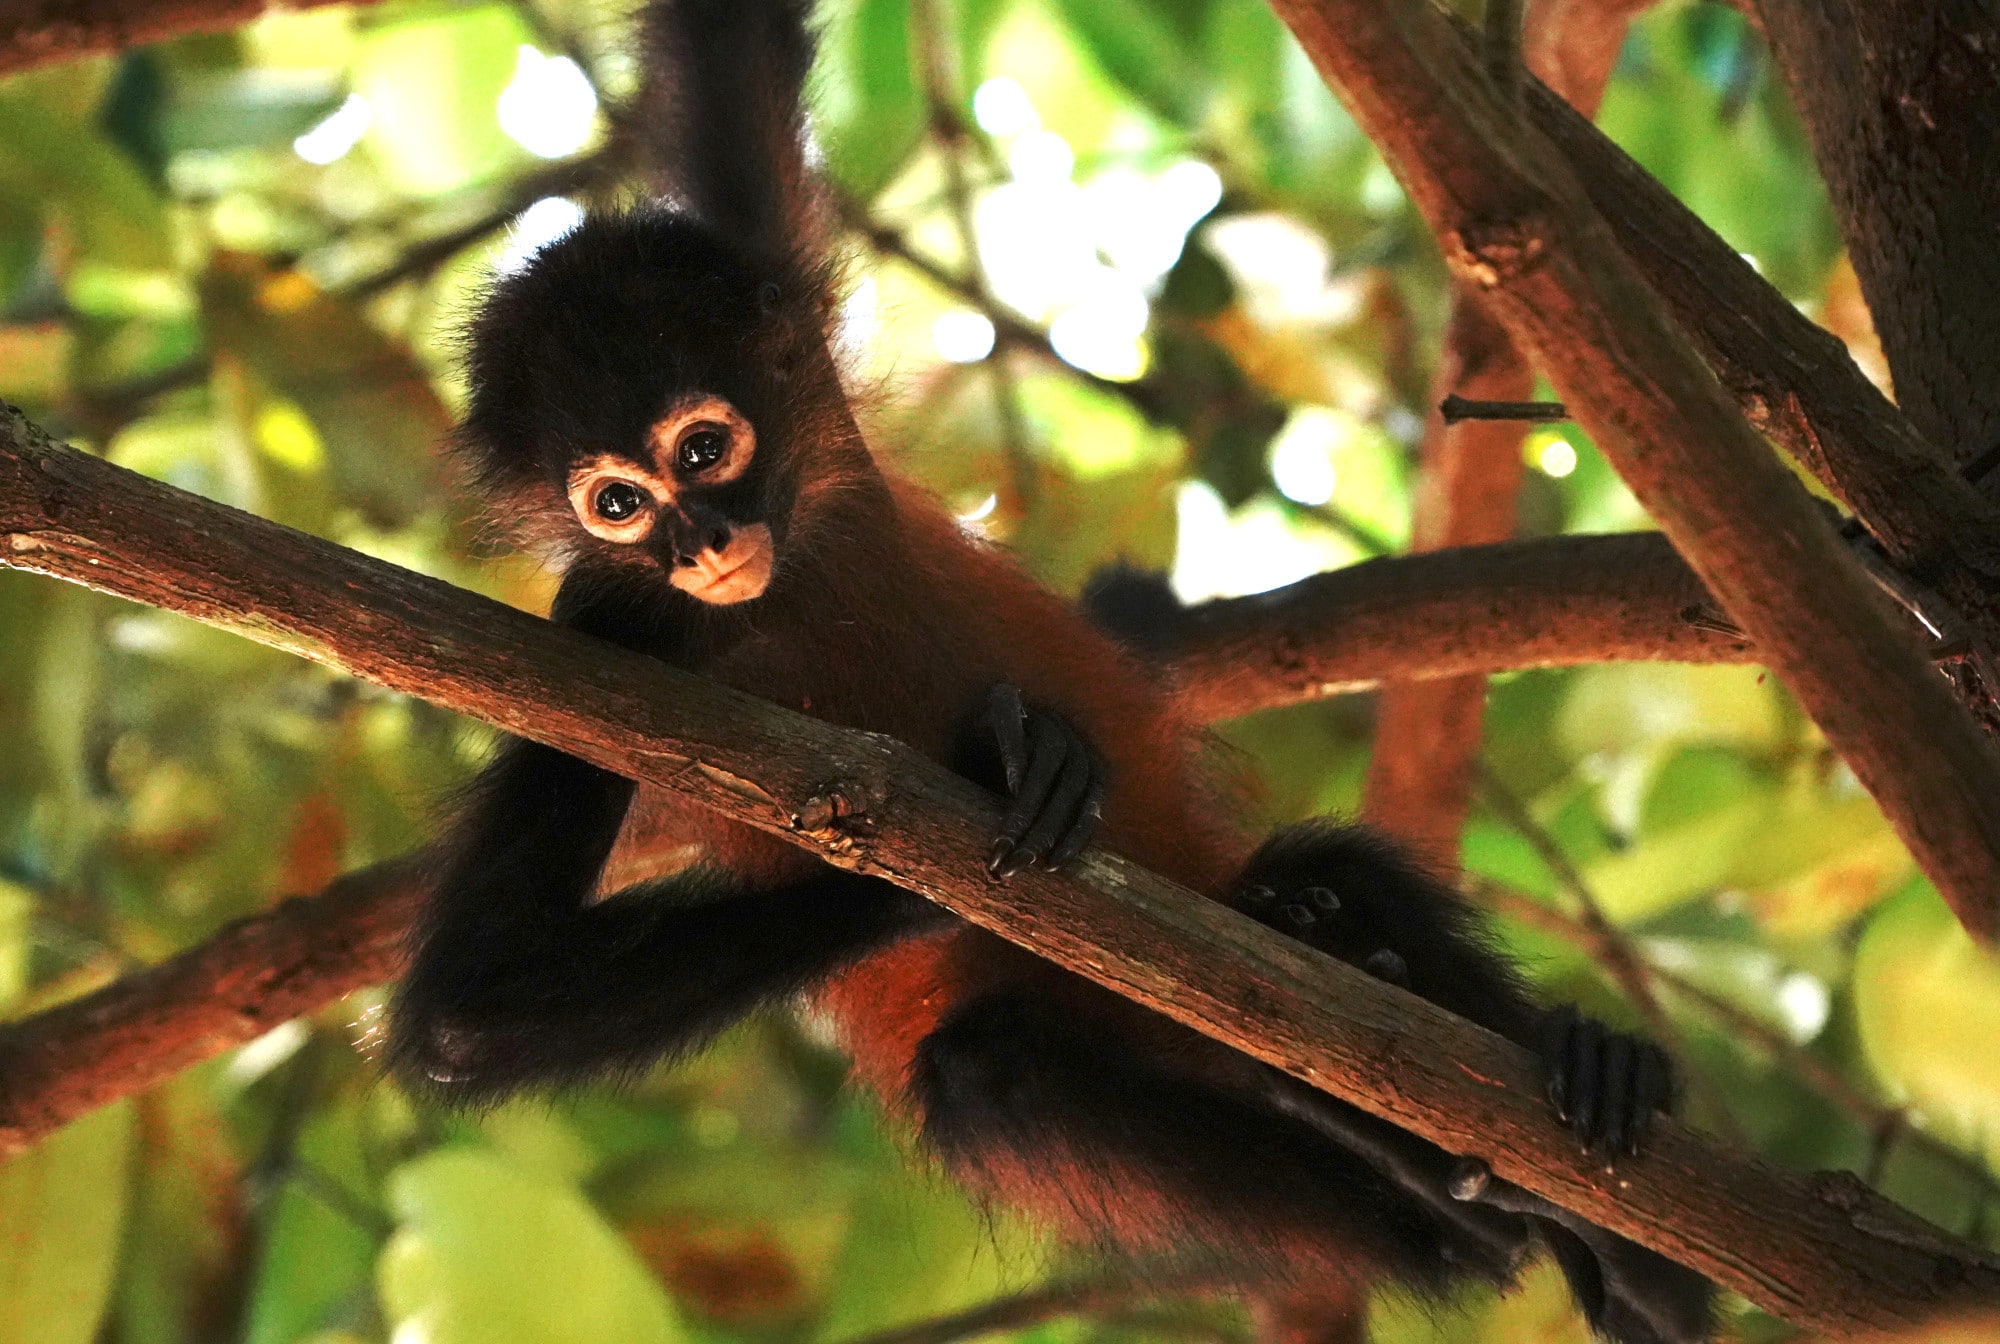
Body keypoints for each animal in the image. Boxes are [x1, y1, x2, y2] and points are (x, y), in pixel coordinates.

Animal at [386, 3, 1715, 1341]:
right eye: (616, 505)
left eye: (701, 449)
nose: (701, 543)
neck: (789, 569)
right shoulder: (606, 628)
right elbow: (473, 1013)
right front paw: (986, 789)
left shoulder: (771, 304)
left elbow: (732, 42)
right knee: (997, 1073)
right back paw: (1452, 1207)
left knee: (1330, 884)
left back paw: (1597, 1184)